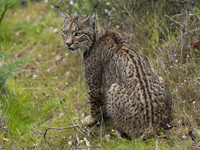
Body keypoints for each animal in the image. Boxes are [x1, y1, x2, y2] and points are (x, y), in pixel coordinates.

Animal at [55, 3, 171, 139]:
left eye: (78, 33)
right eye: (64, 32)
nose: (68, 44)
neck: (100, 34)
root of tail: (152, 126)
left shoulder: (93, 84)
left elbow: (93, 104)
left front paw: (91, 120)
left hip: (113, 87)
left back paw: (117, 133)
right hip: (160, 78)